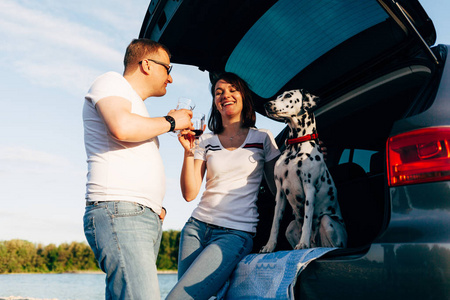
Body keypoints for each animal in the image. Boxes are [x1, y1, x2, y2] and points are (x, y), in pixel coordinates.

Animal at [260, 88, 348, 251]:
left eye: (288, 95)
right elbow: (275, 223)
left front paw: (303, 243)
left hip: (327, 221)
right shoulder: (280, 193)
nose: (266, 104)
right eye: (278, 96)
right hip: (290, 227)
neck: (296, 145)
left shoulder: (309, 188)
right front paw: (269, 246)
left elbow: (307, 218)